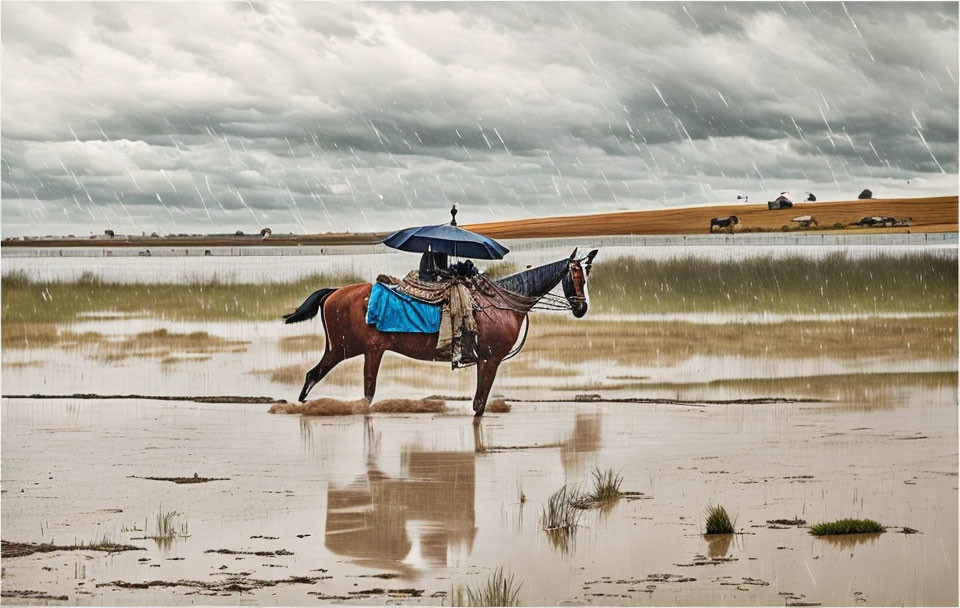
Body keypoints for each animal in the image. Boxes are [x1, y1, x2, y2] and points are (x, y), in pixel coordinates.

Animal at [284, 246, 596, 414]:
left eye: (587, 275)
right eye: (575, 276)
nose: (581, 308)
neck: (501, 302)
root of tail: (335, 293)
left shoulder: (485, 360)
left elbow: (479, 403)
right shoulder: (490, 359)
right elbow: (479, 404)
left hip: (346, 350)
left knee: (315, 375)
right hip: (357, 350)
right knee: (358, 391)